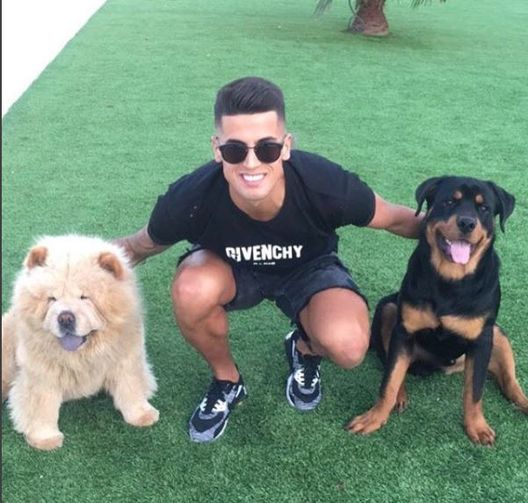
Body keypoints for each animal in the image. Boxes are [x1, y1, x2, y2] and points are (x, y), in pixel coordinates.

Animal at [2, 235, 159, 450]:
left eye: (85, 297)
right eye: (52, 299)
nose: (65, 318)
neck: (82, 355)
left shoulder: (126, 360)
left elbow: (131, 388)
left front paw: (142, 415)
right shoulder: (41, 375)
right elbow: (42, 406)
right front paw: (45, 439)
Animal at [347, 176, 528, 445]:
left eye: (484, 208)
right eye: (449, 201)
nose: (467, 222)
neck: (450, 281)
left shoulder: (482, 341)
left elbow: (474, 392)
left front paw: (477, 426)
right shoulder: (404, 330)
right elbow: (389, 381)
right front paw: (375, 417)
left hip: (498, 334)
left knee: (509, 382)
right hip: (389, 310)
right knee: (395, 366)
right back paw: (400, 395)